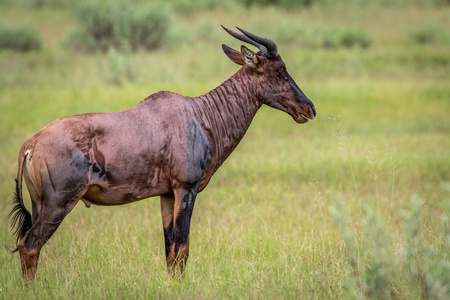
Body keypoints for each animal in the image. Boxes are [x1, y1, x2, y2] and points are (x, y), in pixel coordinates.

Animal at [7, 25, 316, 282]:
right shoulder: (186, 188)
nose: (309, 109)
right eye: (279, 70)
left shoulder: (167, 194)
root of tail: (32, 143)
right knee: (29, 245)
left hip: (39, 203)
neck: (199, 115)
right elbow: (182, 247)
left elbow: (170, 250)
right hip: (59, 202)